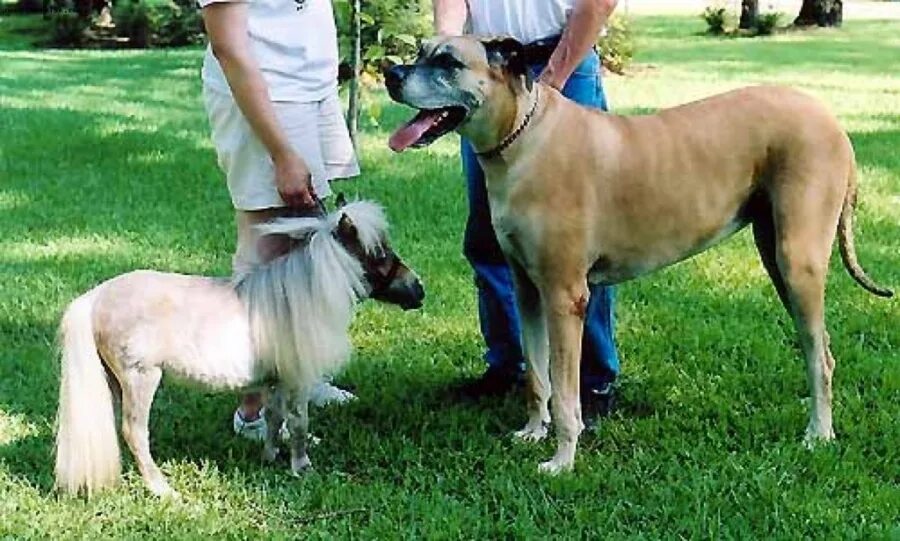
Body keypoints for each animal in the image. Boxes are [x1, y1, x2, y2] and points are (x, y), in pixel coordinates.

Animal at [53, 200, 426, 496]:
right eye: (379, 255)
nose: (418, 289)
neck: (299, 298)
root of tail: (96, 297)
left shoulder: (275, 381)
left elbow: (275, 419)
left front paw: (270, 457)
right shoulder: (297, 380)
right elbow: (299, 422)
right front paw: (302, 467)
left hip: (114, 381)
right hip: (141, 379)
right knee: (135, 433)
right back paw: (163, 490)